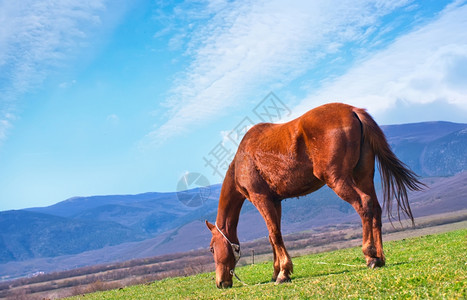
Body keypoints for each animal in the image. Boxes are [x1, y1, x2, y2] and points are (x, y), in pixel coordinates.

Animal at [205, 102, 424, 288]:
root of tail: (353, 110)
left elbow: (274, 235)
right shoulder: (276, 202)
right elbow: (273, 235)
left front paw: (283, 273)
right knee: (376, 209)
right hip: (363, 176)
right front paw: (276, 272)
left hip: (337, 179)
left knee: (364, 204)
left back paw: (370, 256)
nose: (220, 283)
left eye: (212, 249)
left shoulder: (261, 199)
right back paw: (380, 257)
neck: (242, 161)